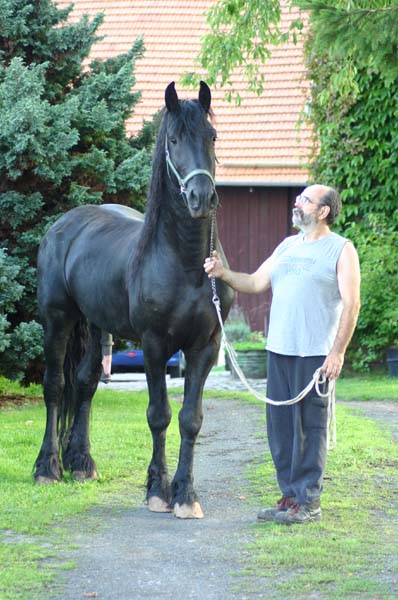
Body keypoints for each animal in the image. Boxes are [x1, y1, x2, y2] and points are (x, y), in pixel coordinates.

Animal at [35, 81, 233, 516]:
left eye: (212, 137)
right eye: (173, 140)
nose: (202, 198)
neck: (185, 264)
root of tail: (64, 225)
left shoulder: (205, 347)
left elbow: (191, 419)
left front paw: (185, 495)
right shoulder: (155, 346)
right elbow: (159, 415)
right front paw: (158, 490)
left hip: (97, 325)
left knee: (86, 383)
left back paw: (82, 464)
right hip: (57, 320)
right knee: (55, 386)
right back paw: (48, 468)